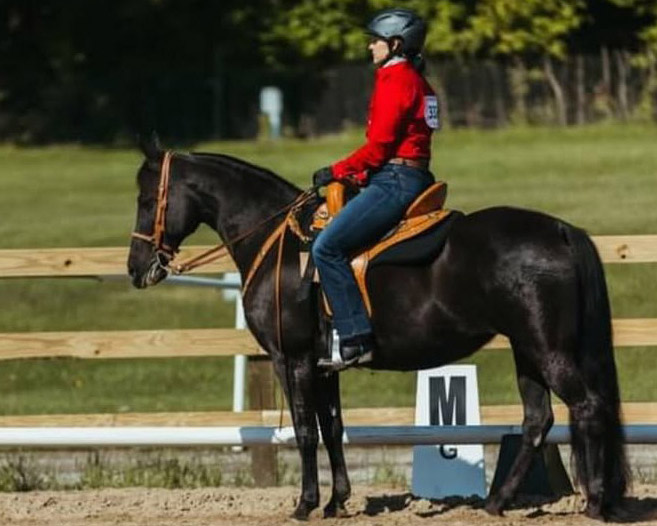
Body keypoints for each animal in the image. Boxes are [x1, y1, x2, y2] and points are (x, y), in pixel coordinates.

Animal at [127, 136, 629, 521]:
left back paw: (596, 503)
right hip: (527, 351)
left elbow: (306, 430)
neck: (280, 246)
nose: (136, 268)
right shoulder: (324, 364)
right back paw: (497, 503)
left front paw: (305, 505)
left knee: (588, 406)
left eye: (147, 200)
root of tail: (560, 230)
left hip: (549, 351)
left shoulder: (293, 360)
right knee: (538, 420)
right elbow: (332, 428)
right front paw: (336, 502)